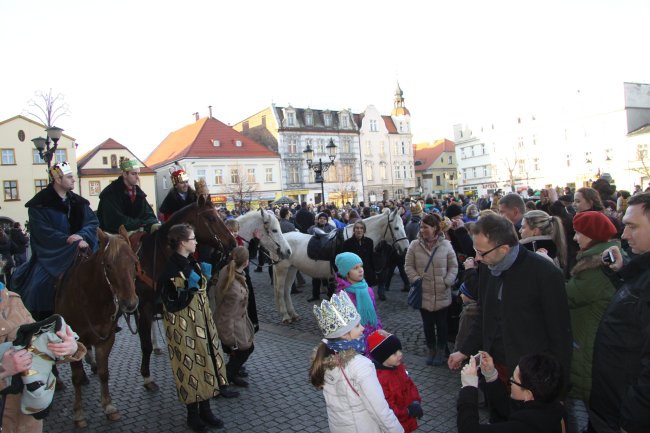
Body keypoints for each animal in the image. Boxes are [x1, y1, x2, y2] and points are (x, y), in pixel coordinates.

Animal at [53, 228, 139, 426]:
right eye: (108, 265)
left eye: (133, 261)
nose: (129, 303)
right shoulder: (72, 342)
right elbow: (76, 378)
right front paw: (78, 413)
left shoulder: (106, 339)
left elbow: (104, 373)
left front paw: (108, 406)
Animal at [272, 208, 404, 322]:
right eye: (397, 228)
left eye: (403, 226)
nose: (405, 247)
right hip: (282, 270)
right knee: (280, 291)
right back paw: (286, 316)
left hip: (292, 269)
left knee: (287, 290)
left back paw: (293, 314)